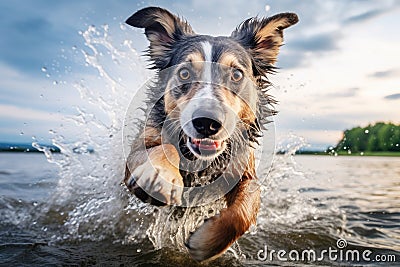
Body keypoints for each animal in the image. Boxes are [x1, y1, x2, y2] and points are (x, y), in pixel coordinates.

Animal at [123, 7, 298, 262]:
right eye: (184, 73)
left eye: (236, 75)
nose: (206, 123)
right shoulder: (139, 150)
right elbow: (160, 150)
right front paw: (160, 176)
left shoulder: (243, 167)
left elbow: (248, 204)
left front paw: (206, 243)